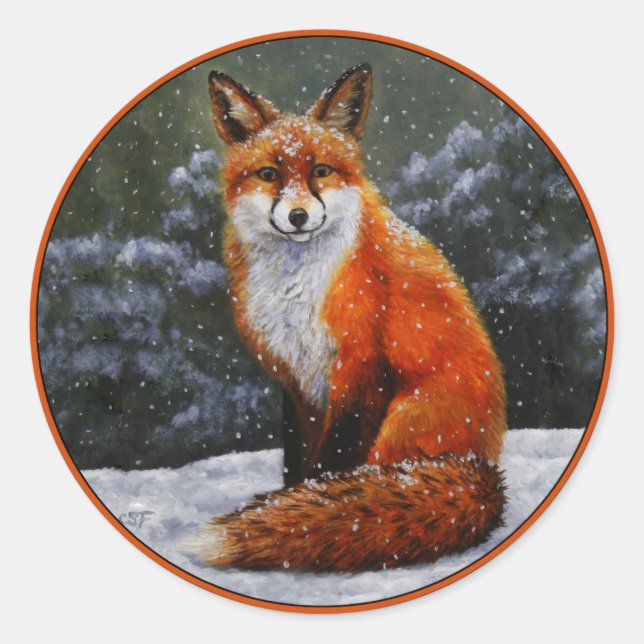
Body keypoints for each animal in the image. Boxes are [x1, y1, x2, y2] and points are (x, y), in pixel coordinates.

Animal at [182, 64, 507, 572]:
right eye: (269, 174)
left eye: (321, 171)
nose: (298, 216)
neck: (296, 288)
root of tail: (485, 469)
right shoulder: (296, 377)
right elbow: (298, 459)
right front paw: (290, 503)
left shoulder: (361, 368)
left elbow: (332, 463)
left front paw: (299, 513)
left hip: (403, 421)